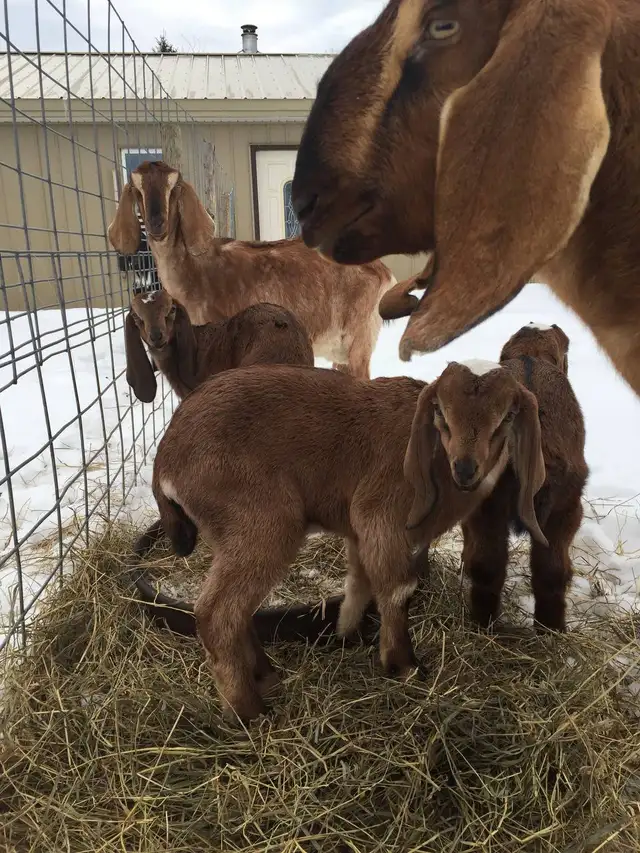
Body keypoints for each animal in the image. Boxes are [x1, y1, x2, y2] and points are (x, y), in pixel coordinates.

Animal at [108, 160, 397, 380]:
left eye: (174, 187)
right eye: (136, 189)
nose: (157, 223)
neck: (196, 273)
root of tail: (383, 271)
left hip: (358, 339)